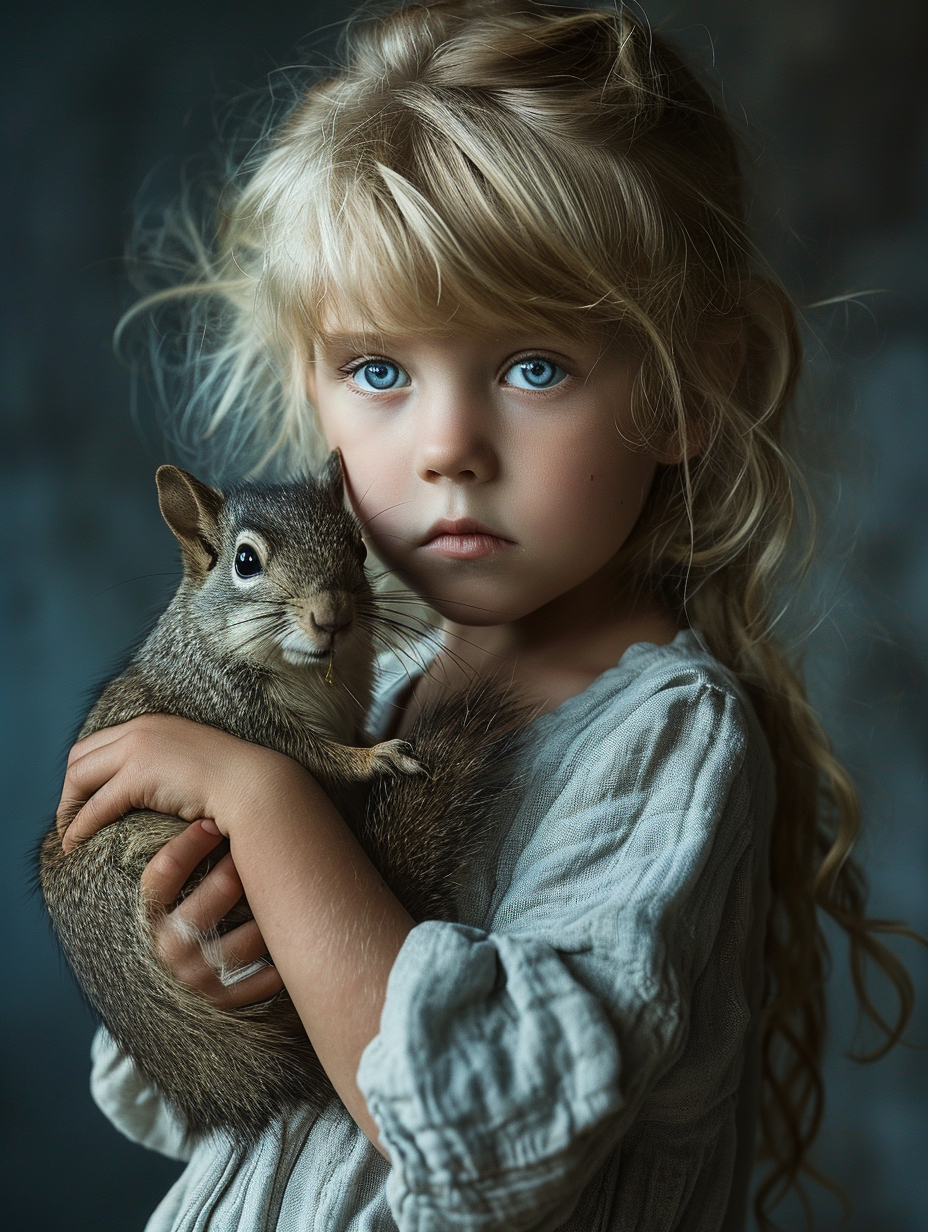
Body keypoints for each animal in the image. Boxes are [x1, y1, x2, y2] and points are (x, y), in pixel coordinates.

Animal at [39, 458, 525, 1148]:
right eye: (245, 561)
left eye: (357, 547)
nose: (333, 616)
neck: (308, 673)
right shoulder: (239, 717)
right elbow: (318, 757)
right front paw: (376, 760)